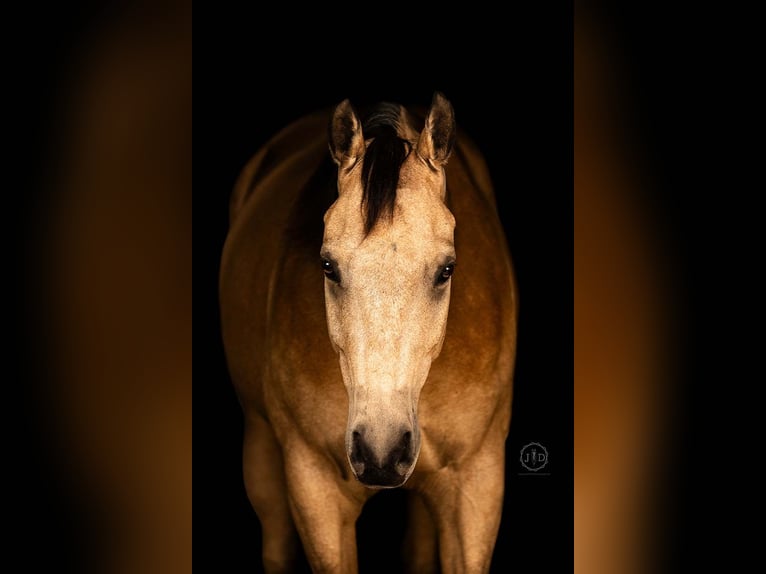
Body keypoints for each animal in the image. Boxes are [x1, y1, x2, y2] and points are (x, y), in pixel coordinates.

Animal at [219, 92, 517, 573]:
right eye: (328, 265)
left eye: (447, 269)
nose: (381, 451)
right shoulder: (314, 485)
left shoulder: (477, 480)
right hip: (262, 452)